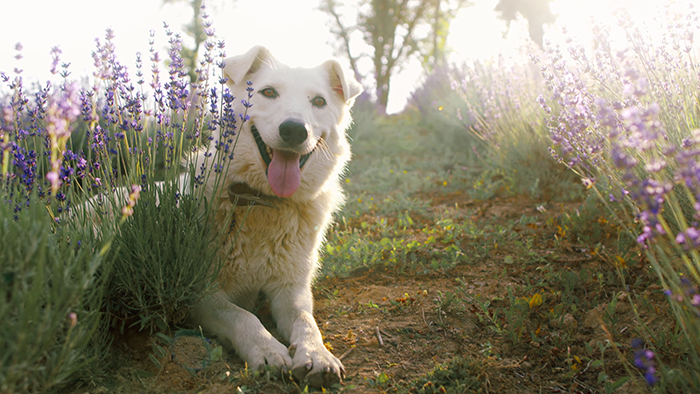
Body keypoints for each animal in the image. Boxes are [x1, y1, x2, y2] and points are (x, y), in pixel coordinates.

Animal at [189, 46, 364, 388]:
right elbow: (243, 316)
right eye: (268, 92)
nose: (294, 130)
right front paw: (268, 350)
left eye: (318, 101)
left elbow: (307, 322)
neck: (263, 203)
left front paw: (317, 354)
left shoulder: (291, 290)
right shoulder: (201, 295)